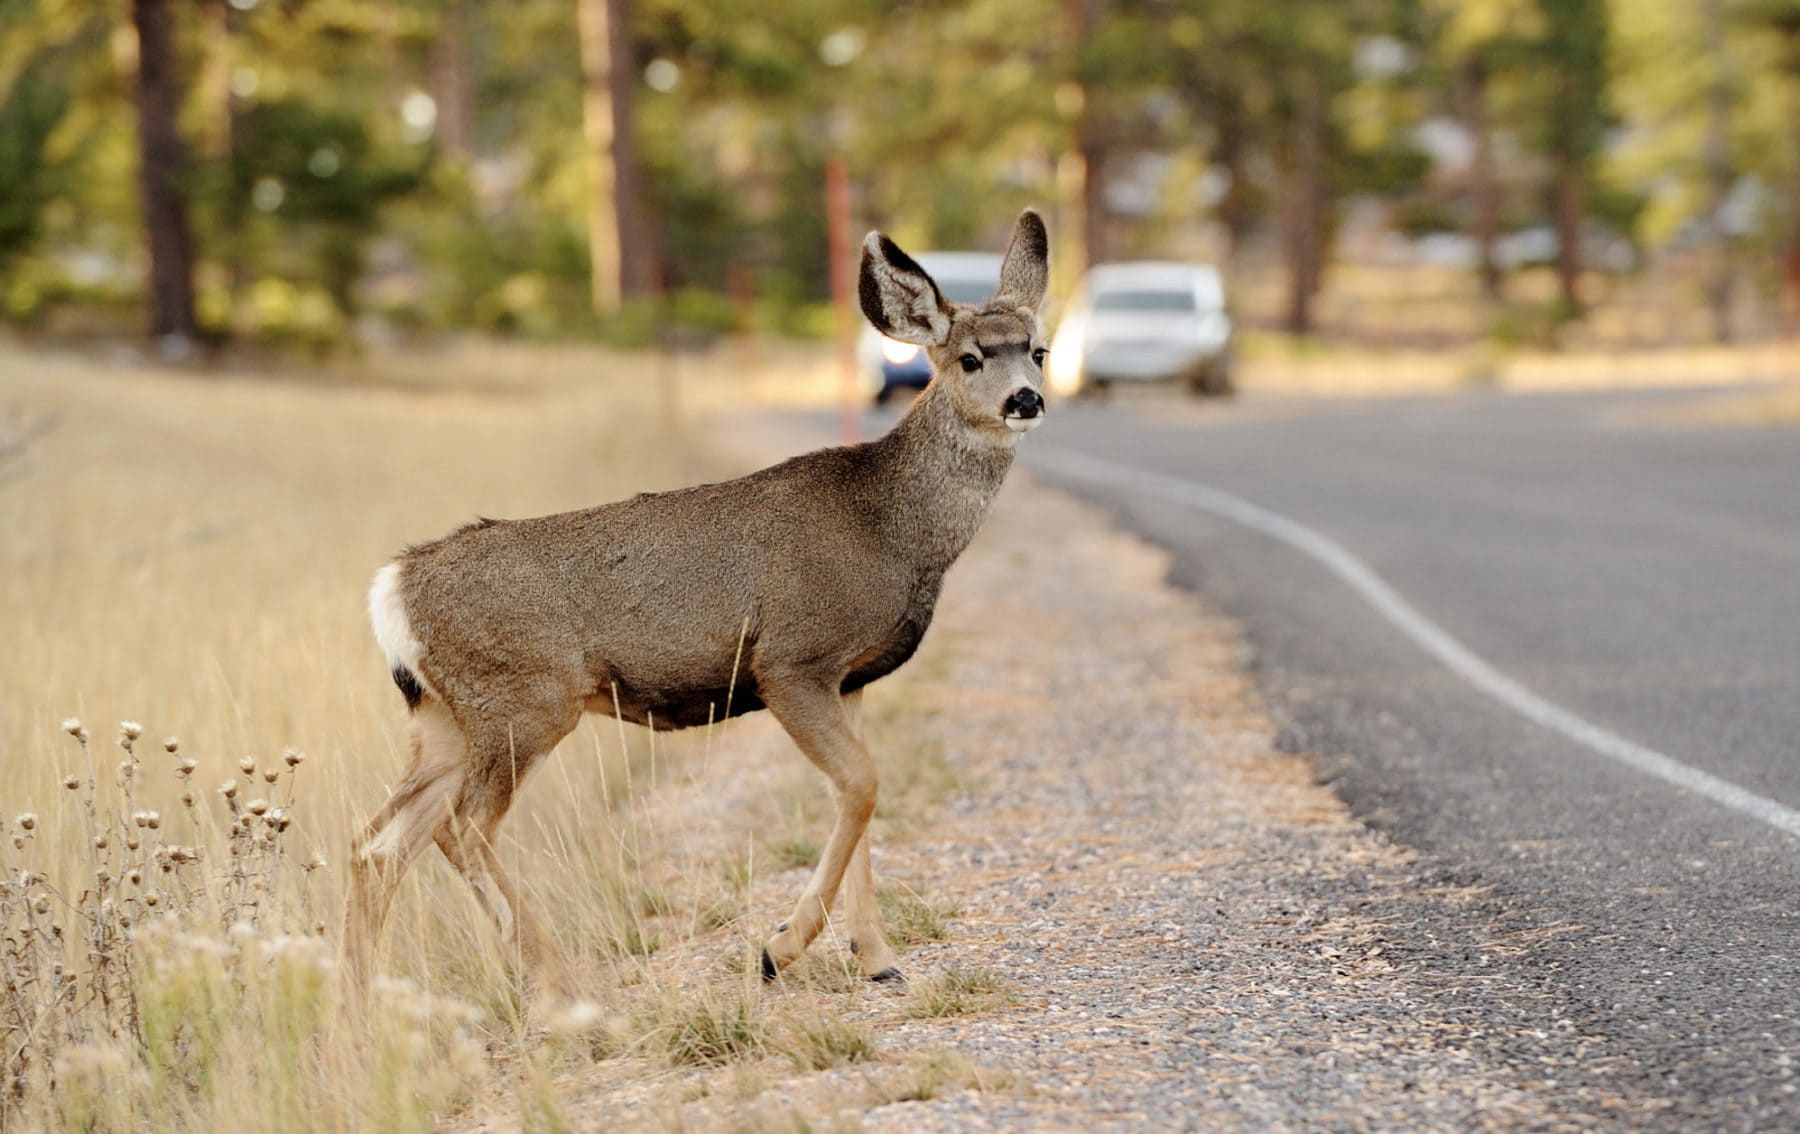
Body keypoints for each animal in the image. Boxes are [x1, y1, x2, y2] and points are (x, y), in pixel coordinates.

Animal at [342, 209, 1051, 1003]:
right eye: (969, 358)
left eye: (1040, 351)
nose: (1026, 399)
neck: (891, 528)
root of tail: (394, 586)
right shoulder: (792, 660)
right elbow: (862, 785)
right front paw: (780, 948)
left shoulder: (853, 678)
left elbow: (861, 797)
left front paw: (876, 957)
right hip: (523, 702)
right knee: (461, 828)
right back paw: (565, 986)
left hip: (444, 719)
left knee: (378, 843)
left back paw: (357, 1008)